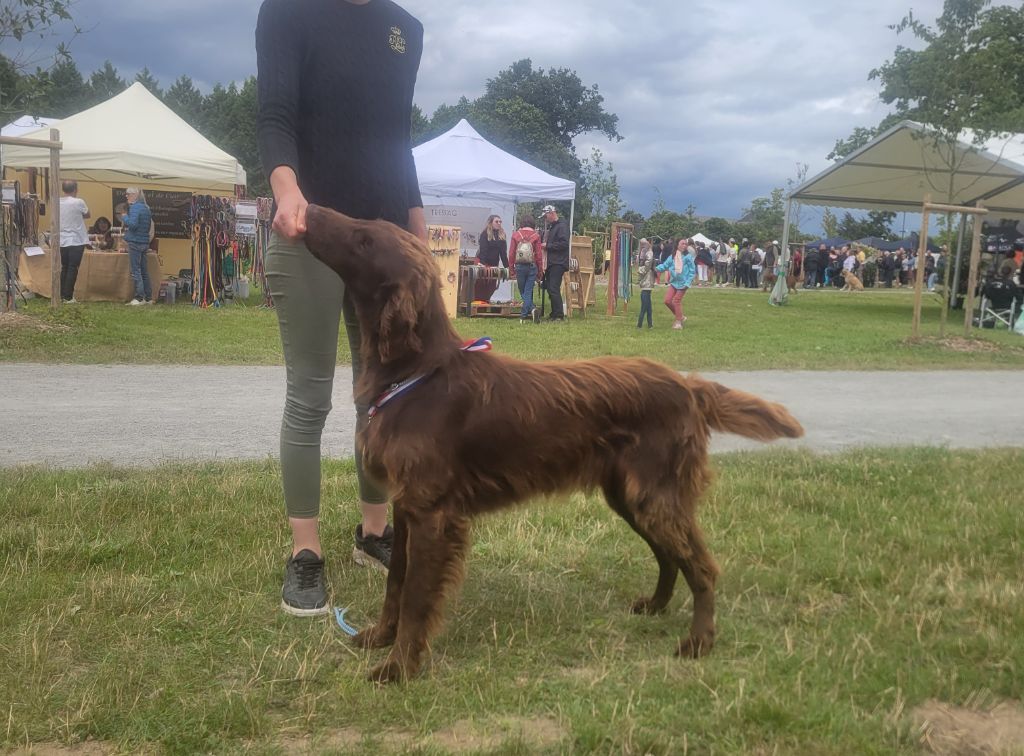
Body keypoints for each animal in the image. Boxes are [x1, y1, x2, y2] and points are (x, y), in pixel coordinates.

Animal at [299, 205, 802, 684]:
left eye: (363, 239)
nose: (311, 212)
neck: (417, 372)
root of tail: (687, 385)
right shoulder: (407, 507)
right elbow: (396, 585)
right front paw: (380, 637)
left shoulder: (431, 514)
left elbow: (416, 598)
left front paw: (399, 668)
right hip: (630, 496)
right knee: (670, 556)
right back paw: (655, 606)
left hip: (656, 496)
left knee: (701, 566)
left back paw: (698, 642)